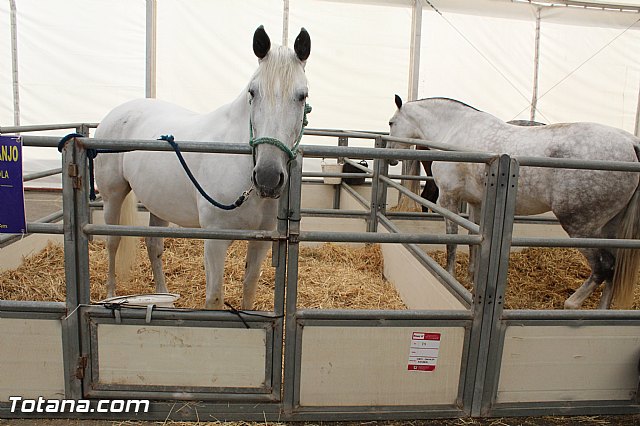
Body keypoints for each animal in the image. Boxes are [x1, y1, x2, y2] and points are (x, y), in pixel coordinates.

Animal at [94, 26, 311, 310]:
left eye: (302, 95)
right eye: (253, 93)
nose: (267, 177)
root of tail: (116, 112)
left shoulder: (262, 239)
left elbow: (249, 289)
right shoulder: (215, 241)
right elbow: (215, 298)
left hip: (158, 203)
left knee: (154, 245)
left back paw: (164, 299)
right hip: (113, 196)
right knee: (112, 242)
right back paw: (110, 297)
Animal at [388, 96, 640, 310]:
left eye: (391, 122)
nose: (390, 158)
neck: (455, 129)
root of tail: (630, 143)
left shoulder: (449, 199)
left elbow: (452, 241)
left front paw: (450, 276)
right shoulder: (476, 202)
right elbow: (473, 238)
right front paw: (471, 277)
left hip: (581, 227)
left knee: (603, 267)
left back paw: (572, 303)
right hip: (608, 229)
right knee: (614, 267)